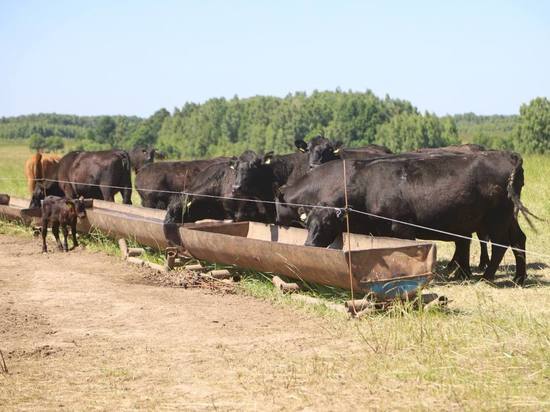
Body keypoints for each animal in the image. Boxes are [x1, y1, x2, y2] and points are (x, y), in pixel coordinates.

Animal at [278, 153, 536, 284]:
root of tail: (508, 156)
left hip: (496, 220)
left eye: (327, 223)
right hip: (505, 219)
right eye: (308, 223)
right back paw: (518, 277)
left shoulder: (403, 229)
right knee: (518, 240)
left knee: (500, 245)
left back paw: (488, 276)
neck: (368, 188)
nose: (309, 244)